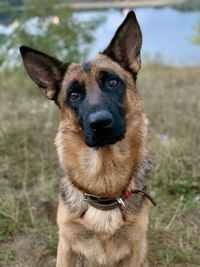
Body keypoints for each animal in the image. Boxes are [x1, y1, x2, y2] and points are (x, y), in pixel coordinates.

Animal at [19, 10, 155, 267]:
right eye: (74, 95)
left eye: (112, 82)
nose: (100, 123)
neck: (104, 187)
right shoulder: (67, 247)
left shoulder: (134, 249)